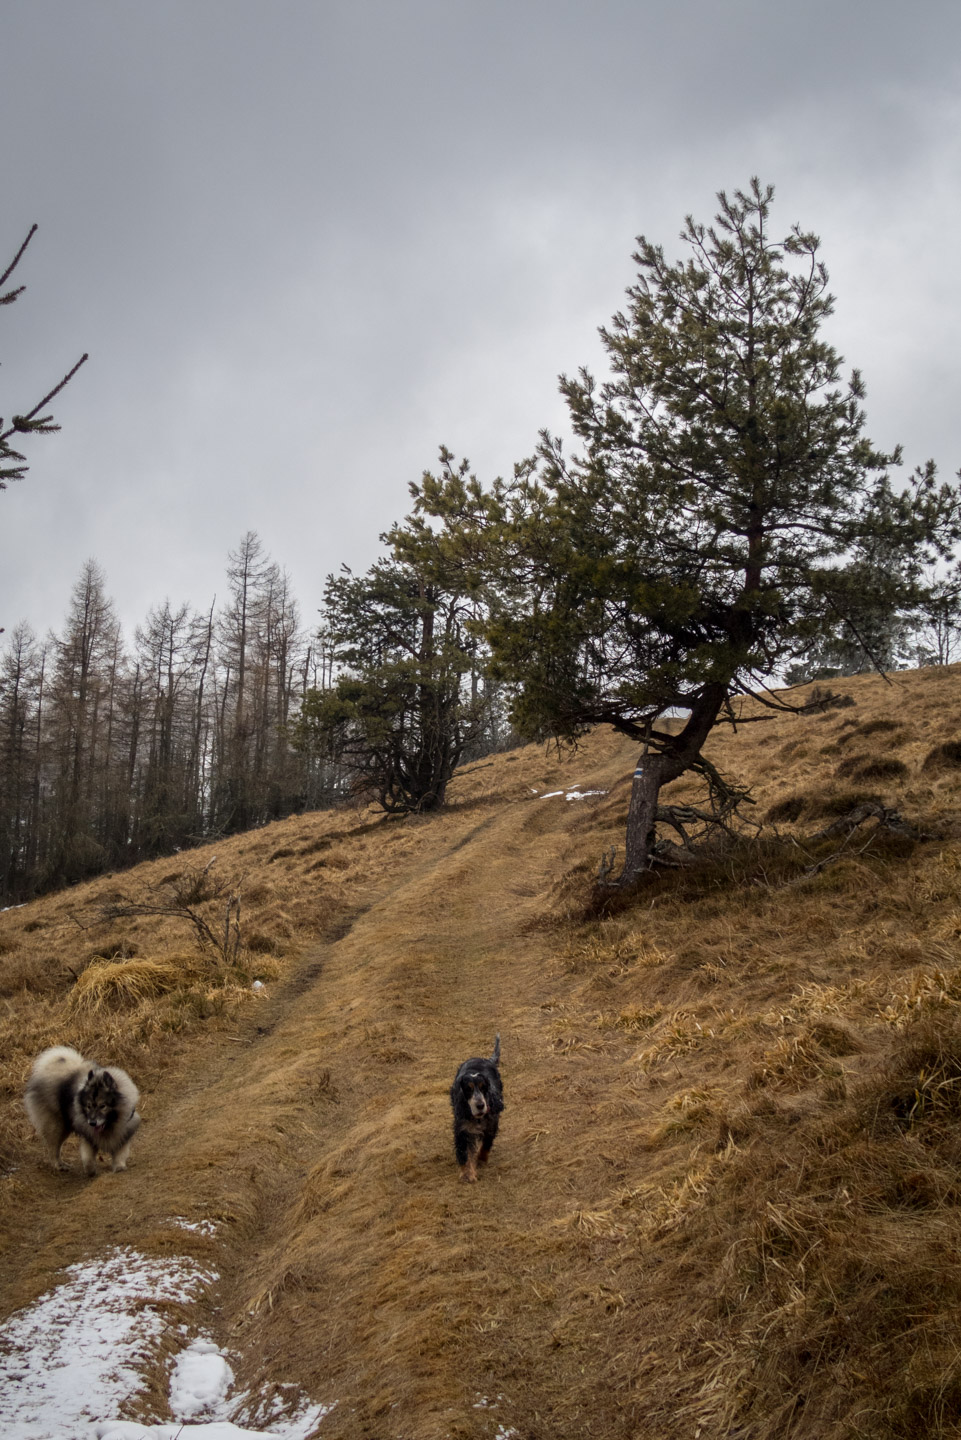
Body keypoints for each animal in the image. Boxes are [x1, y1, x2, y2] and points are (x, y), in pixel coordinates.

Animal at [24, 1048, 141, 1180]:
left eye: (103, 1106)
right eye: (88, 1106)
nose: (92, 1123)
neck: (109, 1124)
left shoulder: (124, 1131)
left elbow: (120, 1153)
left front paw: (119, 1167)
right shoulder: (87, 1135)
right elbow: (88, 1158)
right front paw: (91, 1172)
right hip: (57, 1126)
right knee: (54, 1148)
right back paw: (59, 1165)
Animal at [449, 1036, 504, 1180]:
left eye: (483, 1087)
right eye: (468, 1089)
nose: (480, 1105)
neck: (477, 1118)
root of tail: (486, 1059)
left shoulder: (491, 1125)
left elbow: (486, 1145)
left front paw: (481, 1160)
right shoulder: (462, 1130)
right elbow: (464, 1153)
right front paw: (467, 1174)